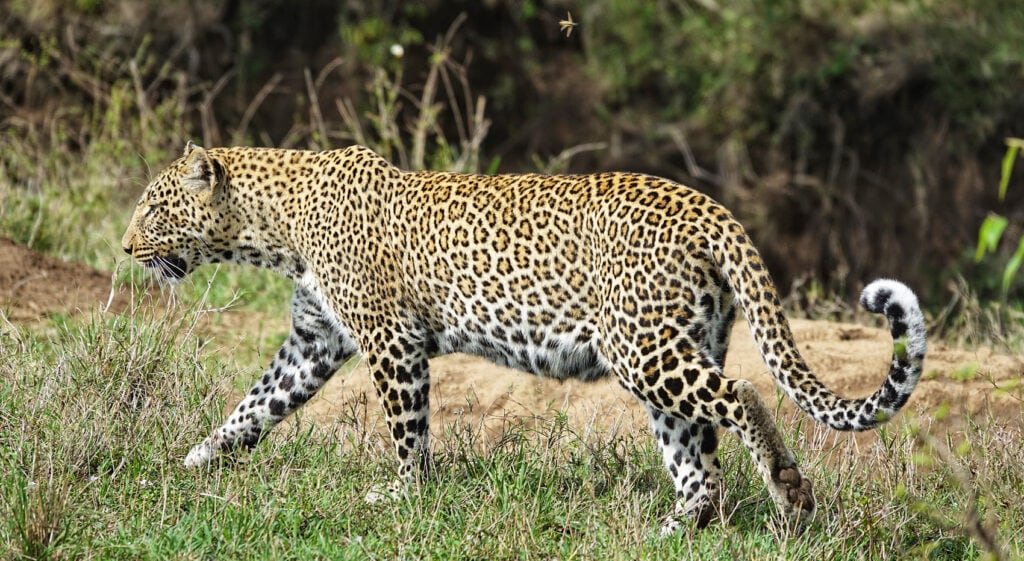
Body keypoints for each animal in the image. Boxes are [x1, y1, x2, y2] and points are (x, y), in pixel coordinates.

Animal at [122, 142, 927, 534]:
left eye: (154, 210)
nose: (127, 248)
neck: (274, 228)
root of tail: (708, 205)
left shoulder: (390, 339)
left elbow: (406, 427)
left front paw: (404, 494)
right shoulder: (314, 340)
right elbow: (256, 404)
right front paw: (198, 458)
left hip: (643, 348)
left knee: (743, 395)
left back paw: (787, 489)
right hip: (675, 347)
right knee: (698, 457)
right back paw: (673, 528)